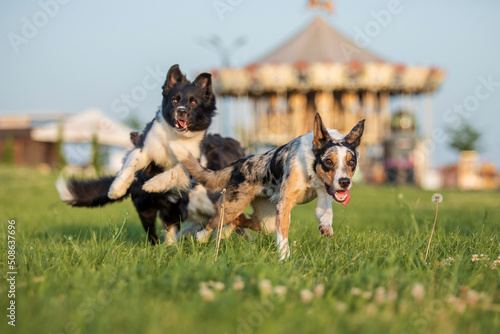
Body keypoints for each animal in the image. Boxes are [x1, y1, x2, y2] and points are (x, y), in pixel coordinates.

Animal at [166, 113, 366, 262]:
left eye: (351, 162)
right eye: (328, 161)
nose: (344, 182)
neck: (311, 166)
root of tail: (239, 163)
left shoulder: (324, 190)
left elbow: (326, 210)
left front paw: (325, 225)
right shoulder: (284, 204)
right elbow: (283, 235)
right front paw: (284, 259)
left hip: (264, 222)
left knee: (239, 220)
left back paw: (224, 234)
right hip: (235, 206)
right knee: (215, 222)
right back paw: (202, 237)